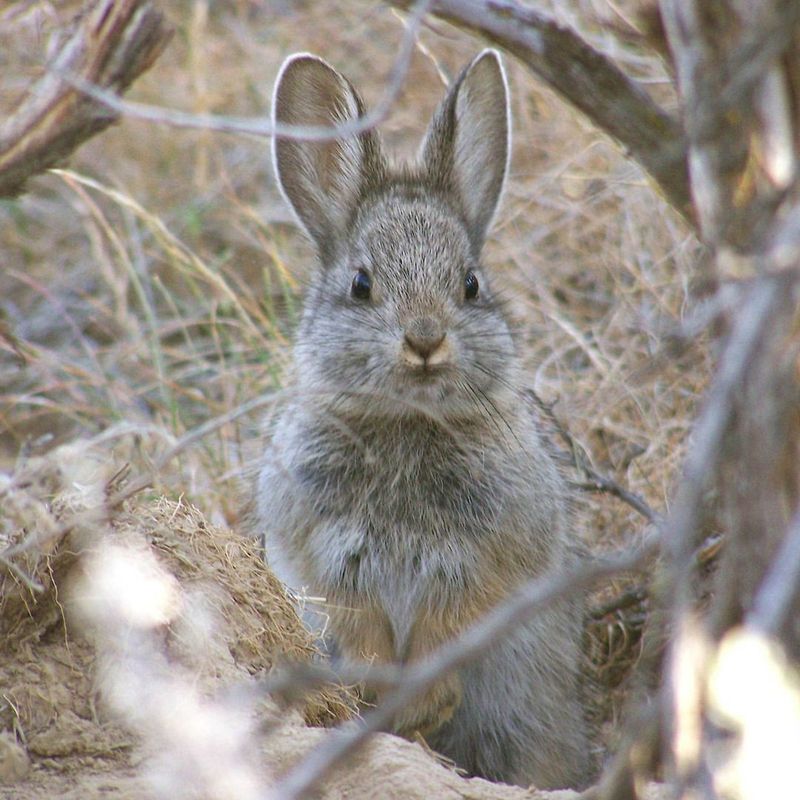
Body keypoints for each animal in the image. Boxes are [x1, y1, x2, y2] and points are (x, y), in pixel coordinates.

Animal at [250, 50, 592, 792]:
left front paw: (425, 700)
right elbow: (356, 624)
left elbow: (455, 621)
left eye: (470, 284)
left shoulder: (489, 555)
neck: (408, 421)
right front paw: (385, 698)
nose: (427, 340)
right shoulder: (322, 554)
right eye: (361, 284)